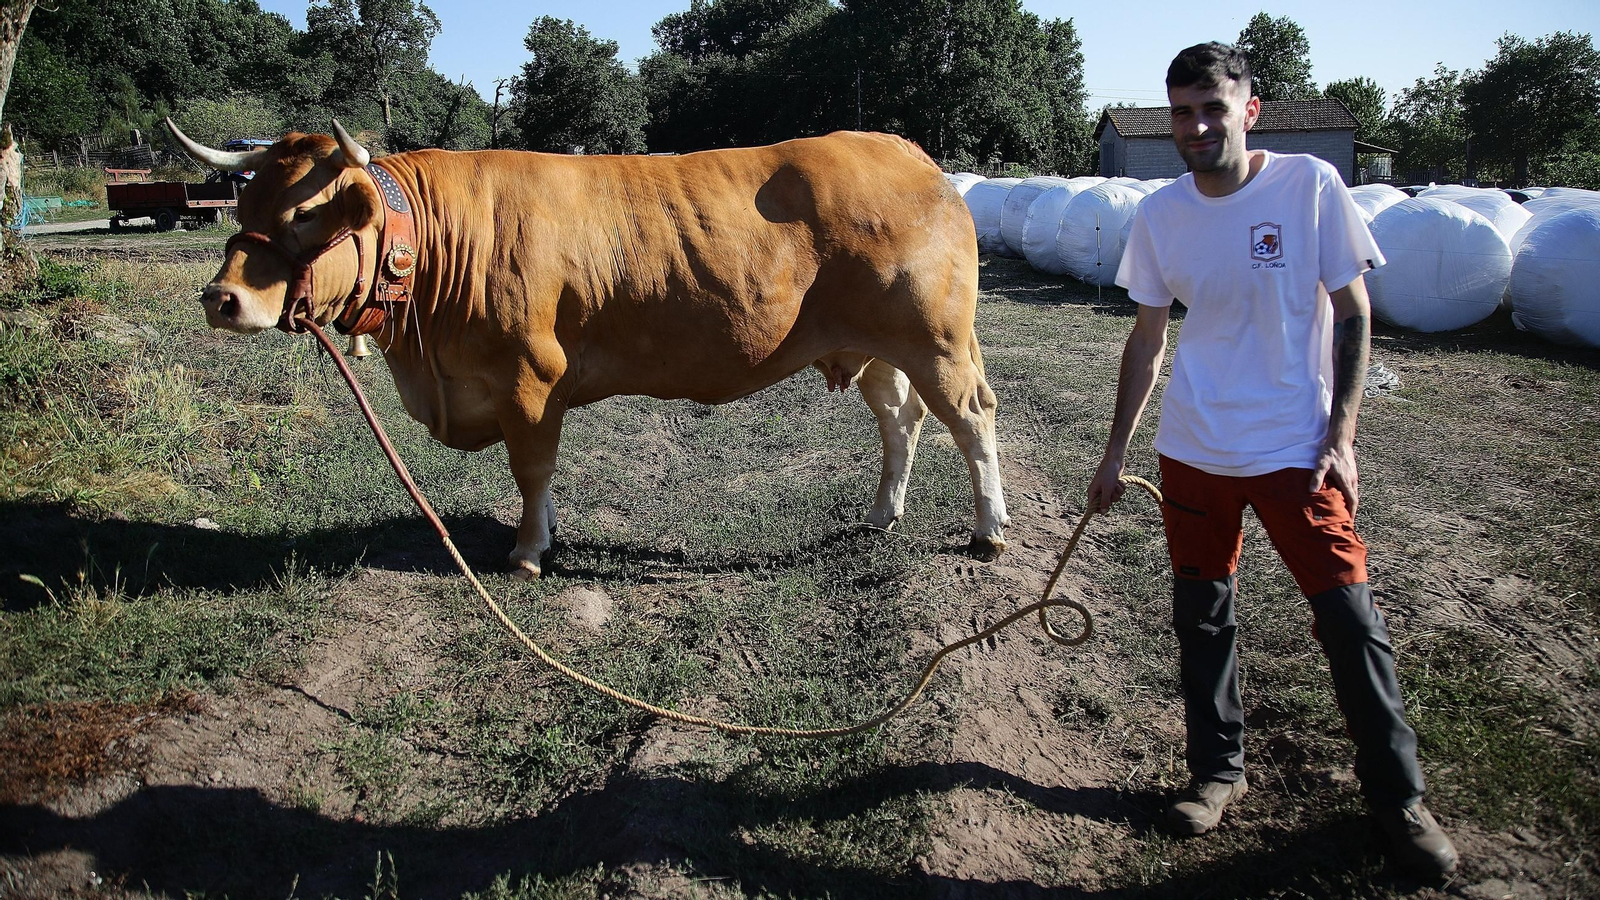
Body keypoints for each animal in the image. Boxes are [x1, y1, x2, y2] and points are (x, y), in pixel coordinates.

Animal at [171, 120, 1009, 578]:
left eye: (306, 212)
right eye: (244, 203)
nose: (221, 298)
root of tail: (906, 152)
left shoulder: (529, 376)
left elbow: (531, 468)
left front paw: (527, 551)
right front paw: (543, 538)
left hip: (936, 340)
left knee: (971, 418)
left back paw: (989, 530)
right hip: (876, 349)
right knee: (900, 422)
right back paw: (882, 515)